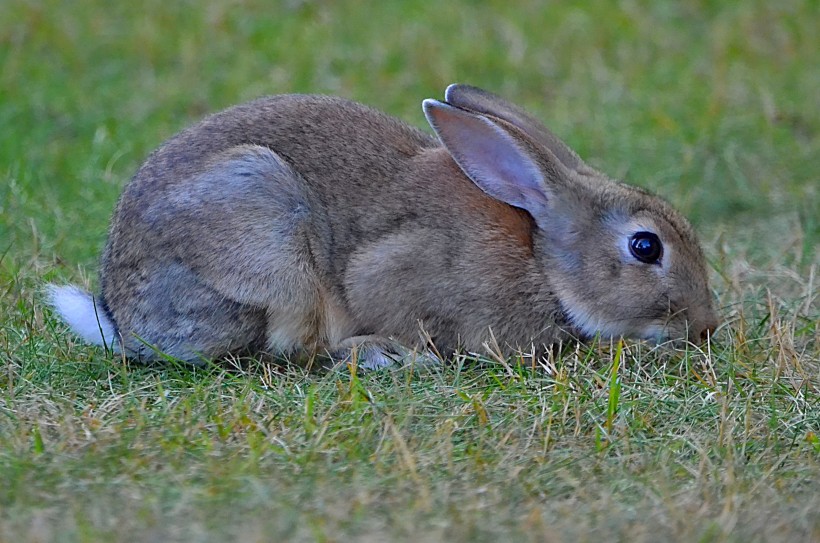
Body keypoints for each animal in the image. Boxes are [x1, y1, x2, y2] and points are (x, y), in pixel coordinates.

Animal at [48, 83, 720, 368]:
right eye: (645, 247)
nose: (706, 326)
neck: (544, 262)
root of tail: (124, 318)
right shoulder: (393, 272)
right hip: (270, 240)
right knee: (299, 345)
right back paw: (389, 357)